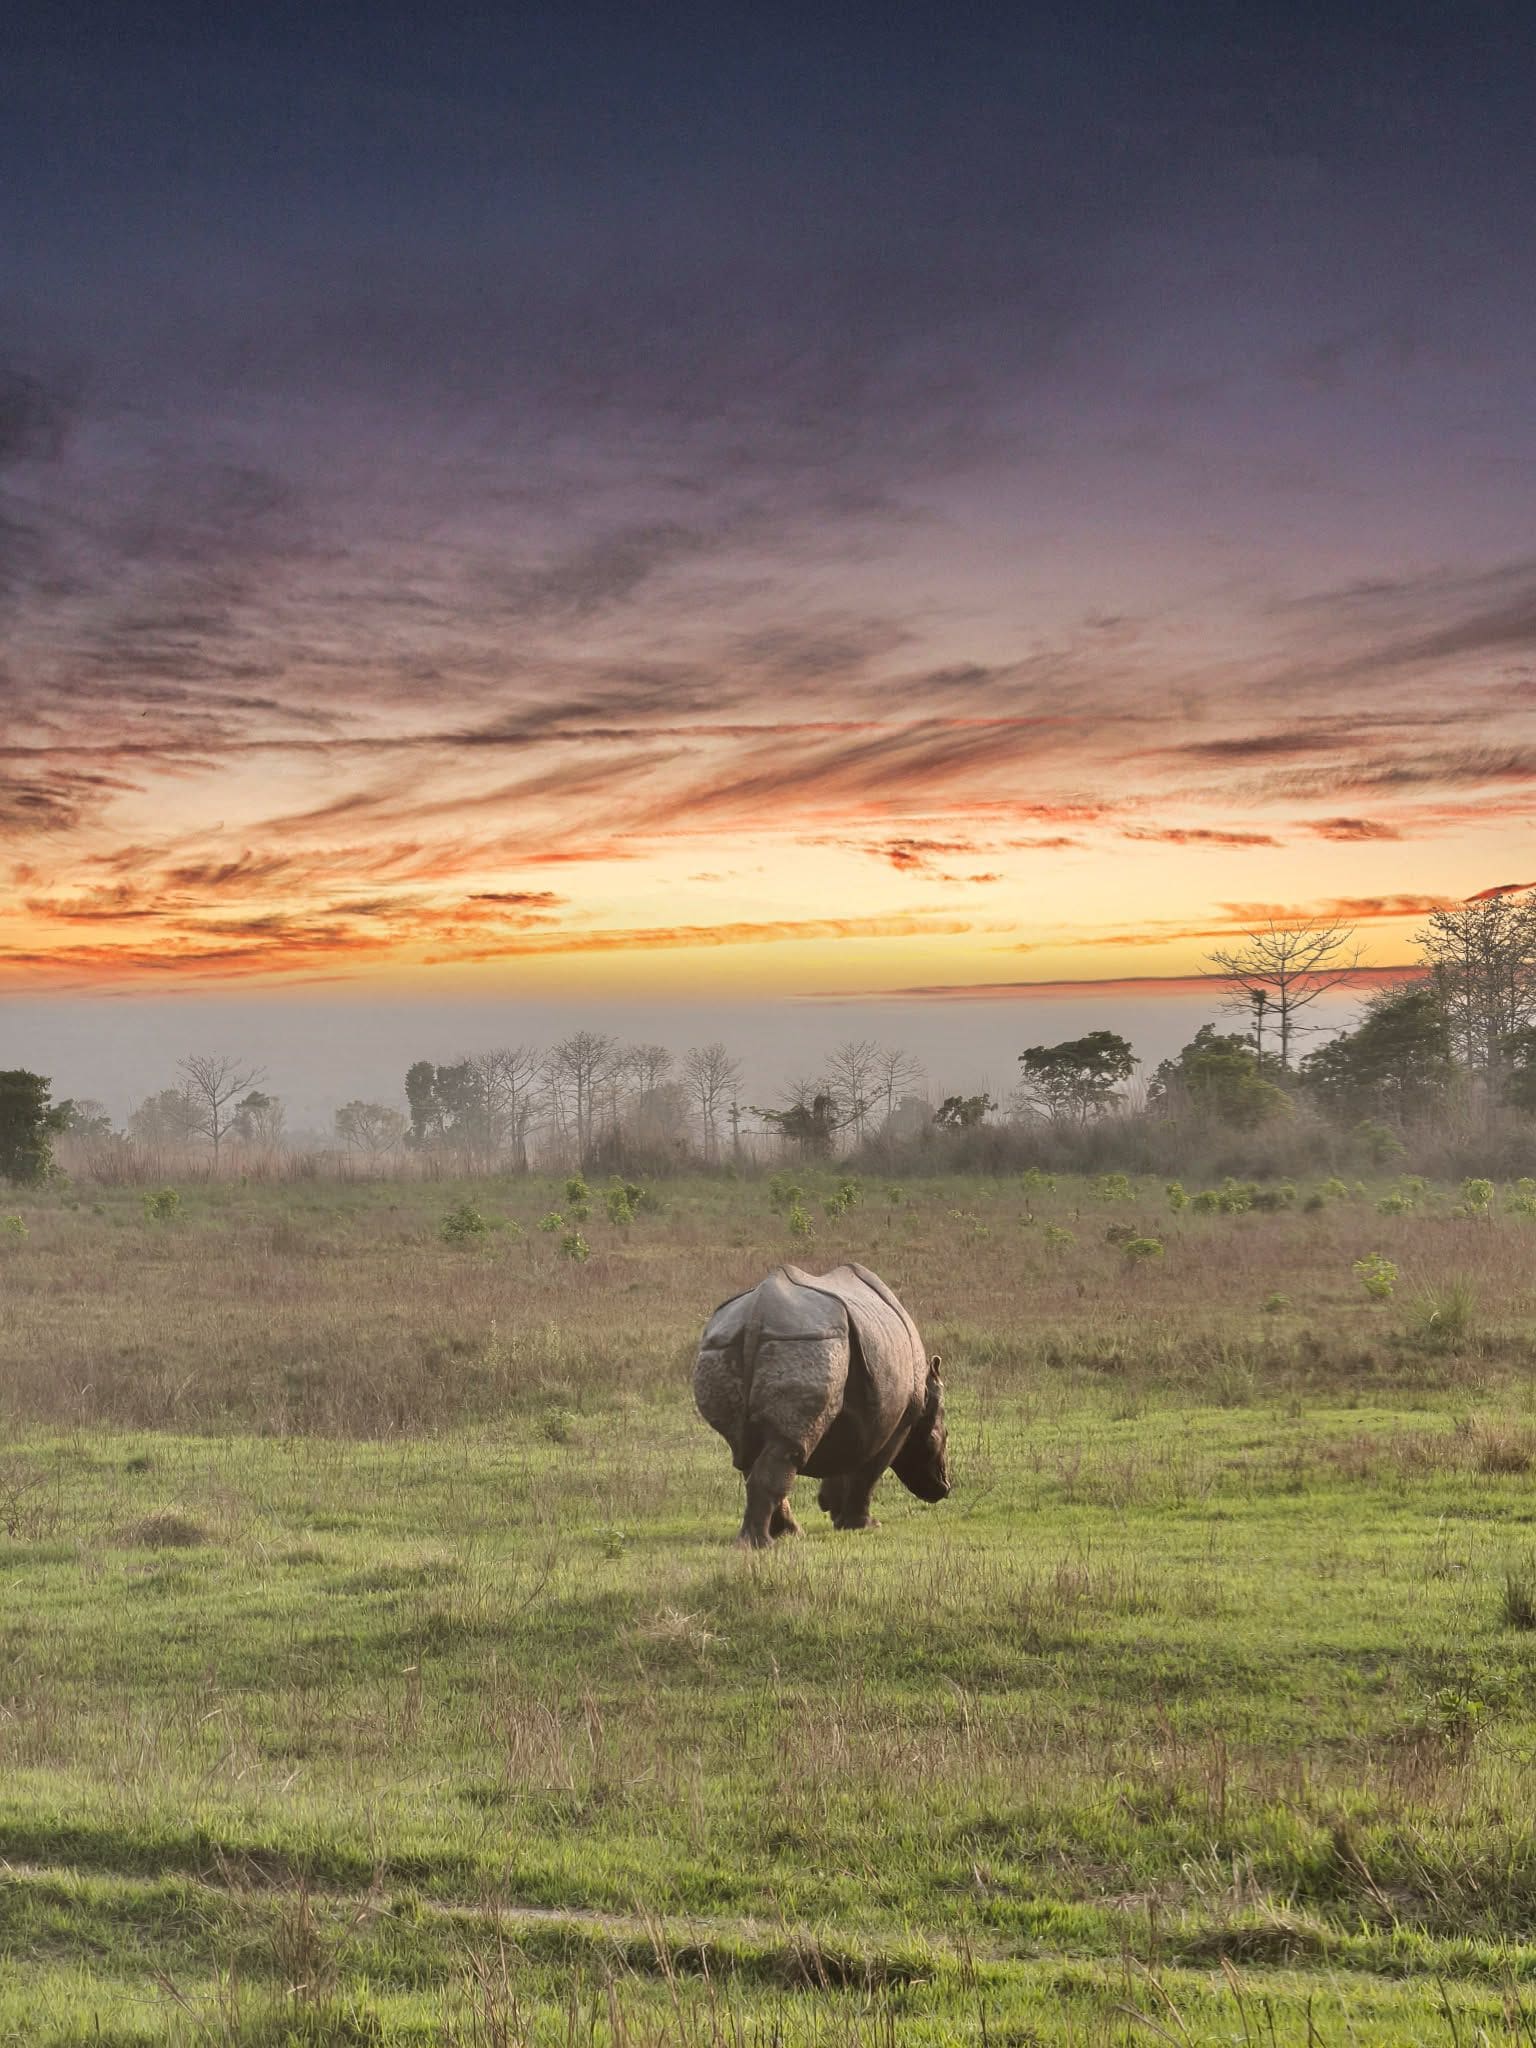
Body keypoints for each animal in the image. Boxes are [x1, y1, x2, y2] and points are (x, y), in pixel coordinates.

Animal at [693, 1262, 950, 1547]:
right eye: (941, 1437)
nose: (943, 1489)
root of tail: (758, 1311)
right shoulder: (900, 1422)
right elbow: (869, 1472)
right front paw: (863, 1526)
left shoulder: (857, 1413)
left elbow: (845, 1457)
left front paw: (833, 1509)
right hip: (808, 1340)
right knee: (789, 1447)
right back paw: (762, 1544)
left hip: (725, 1346)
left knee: (749, 1450)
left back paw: (784, 1535)